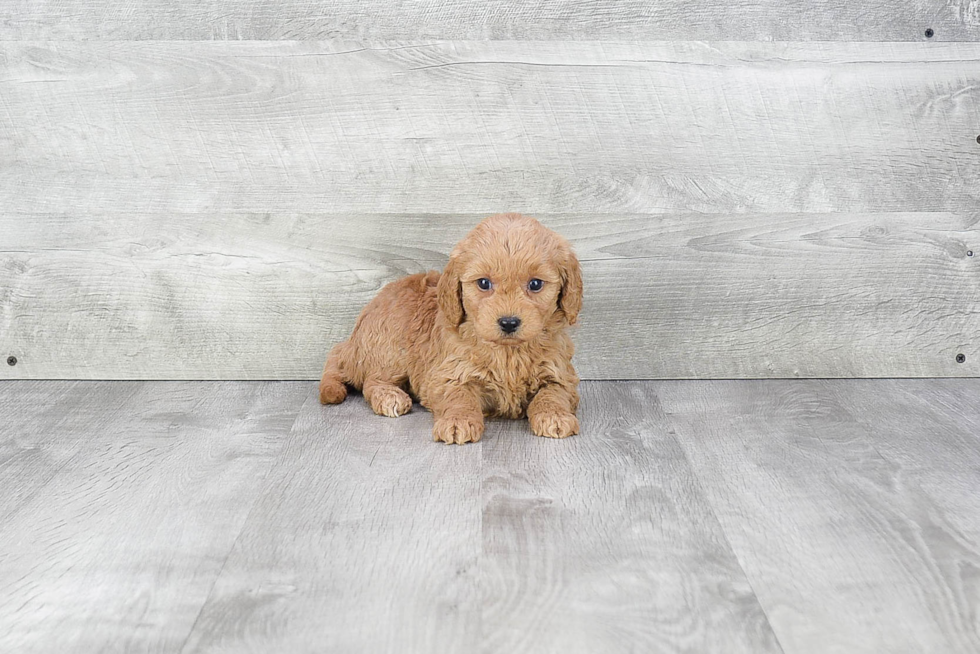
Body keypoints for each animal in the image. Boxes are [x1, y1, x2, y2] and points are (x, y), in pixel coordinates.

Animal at [322, 215, 580, 446]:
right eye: (484, 283)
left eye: (535, 284)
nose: (508, 322)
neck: (508, 353)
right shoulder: (448, 373)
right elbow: (459, 396)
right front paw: (458, 421)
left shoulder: (561, 374)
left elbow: (553, 394)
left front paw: (554, 415)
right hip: (390, 348)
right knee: (370, 379)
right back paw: (389, 397)